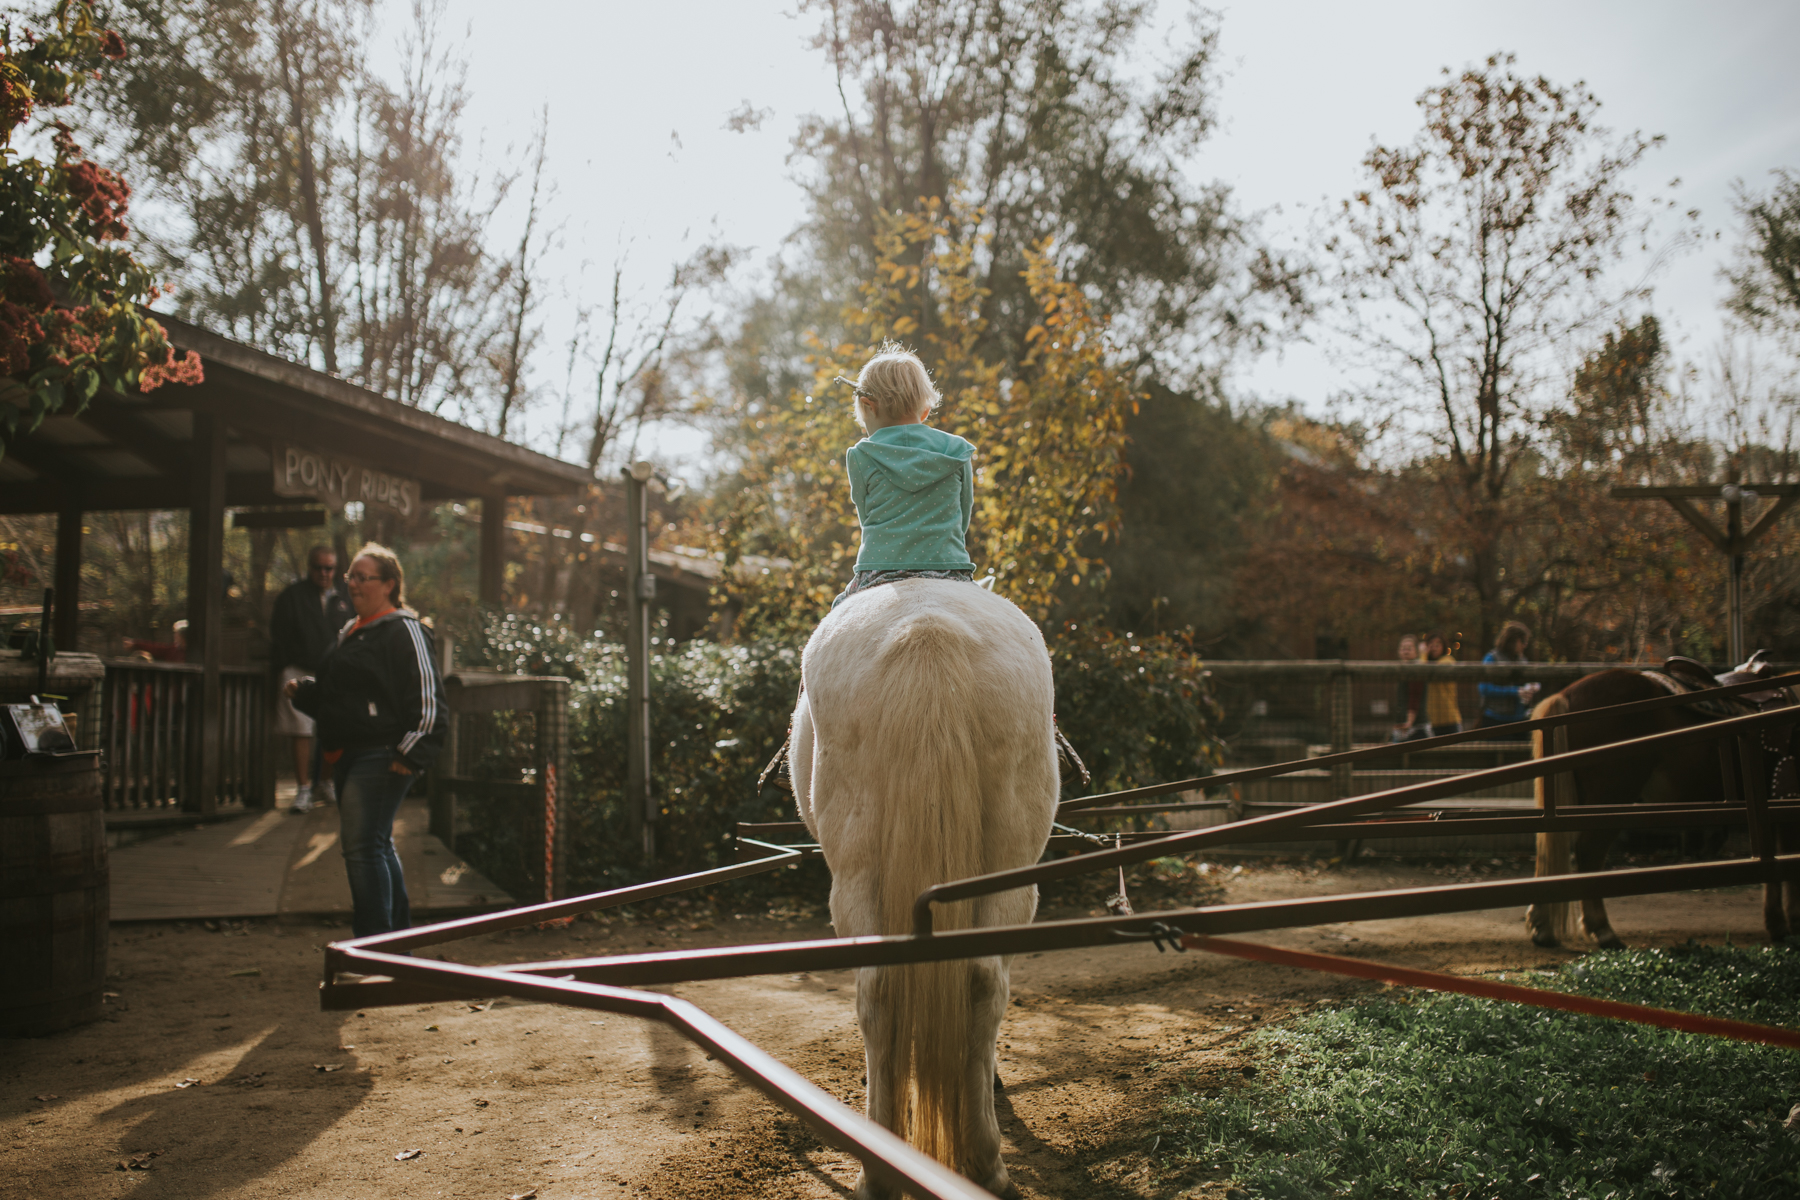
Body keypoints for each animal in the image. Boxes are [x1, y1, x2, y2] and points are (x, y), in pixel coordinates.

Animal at [795, 575, 1058, 1194]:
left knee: (883, 989)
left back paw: (888, 1169)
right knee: (979, 980)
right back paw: (978, 1162)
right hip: (1011, 870)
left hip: (857, 873)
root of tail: (926, 628)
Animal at [1519, 658, 1800, 949]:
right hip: (1612, 795)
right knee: (1589, 851)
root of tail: (1567, 694)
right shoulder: (1788, 798)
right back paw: (1602, 931)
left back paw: (1543, 927)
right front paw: (1790, 924)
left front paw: (1777, 923)